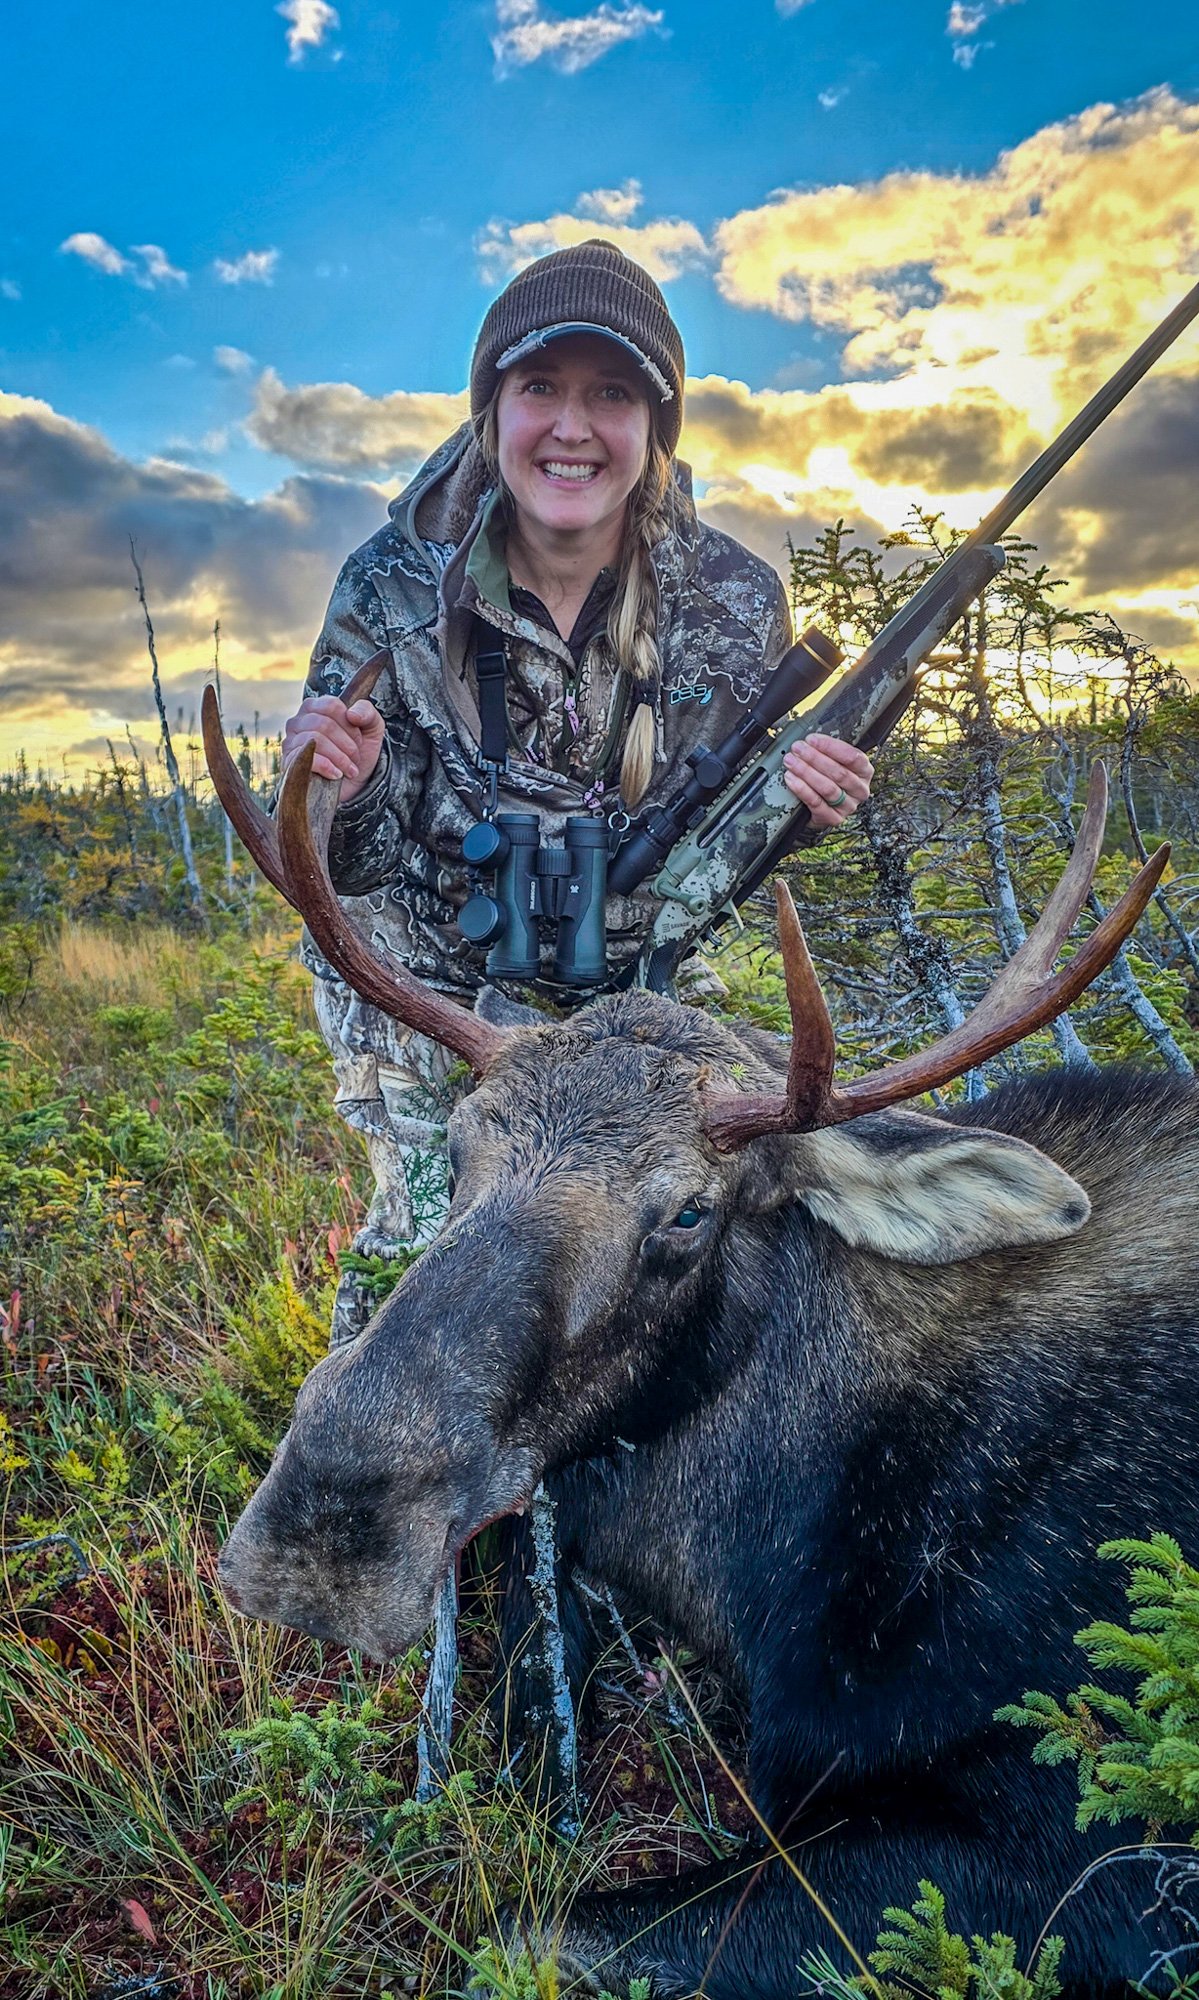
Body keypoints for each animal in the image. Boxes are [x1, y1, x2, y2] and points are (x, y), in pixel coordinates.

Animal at [205, 676, 1199, 2000]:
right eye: (456, 1145)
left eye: (688, 1209)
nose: (325, 1533)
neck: (781, 1543)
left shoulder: (1072, 1846)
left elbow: (531, 1926)